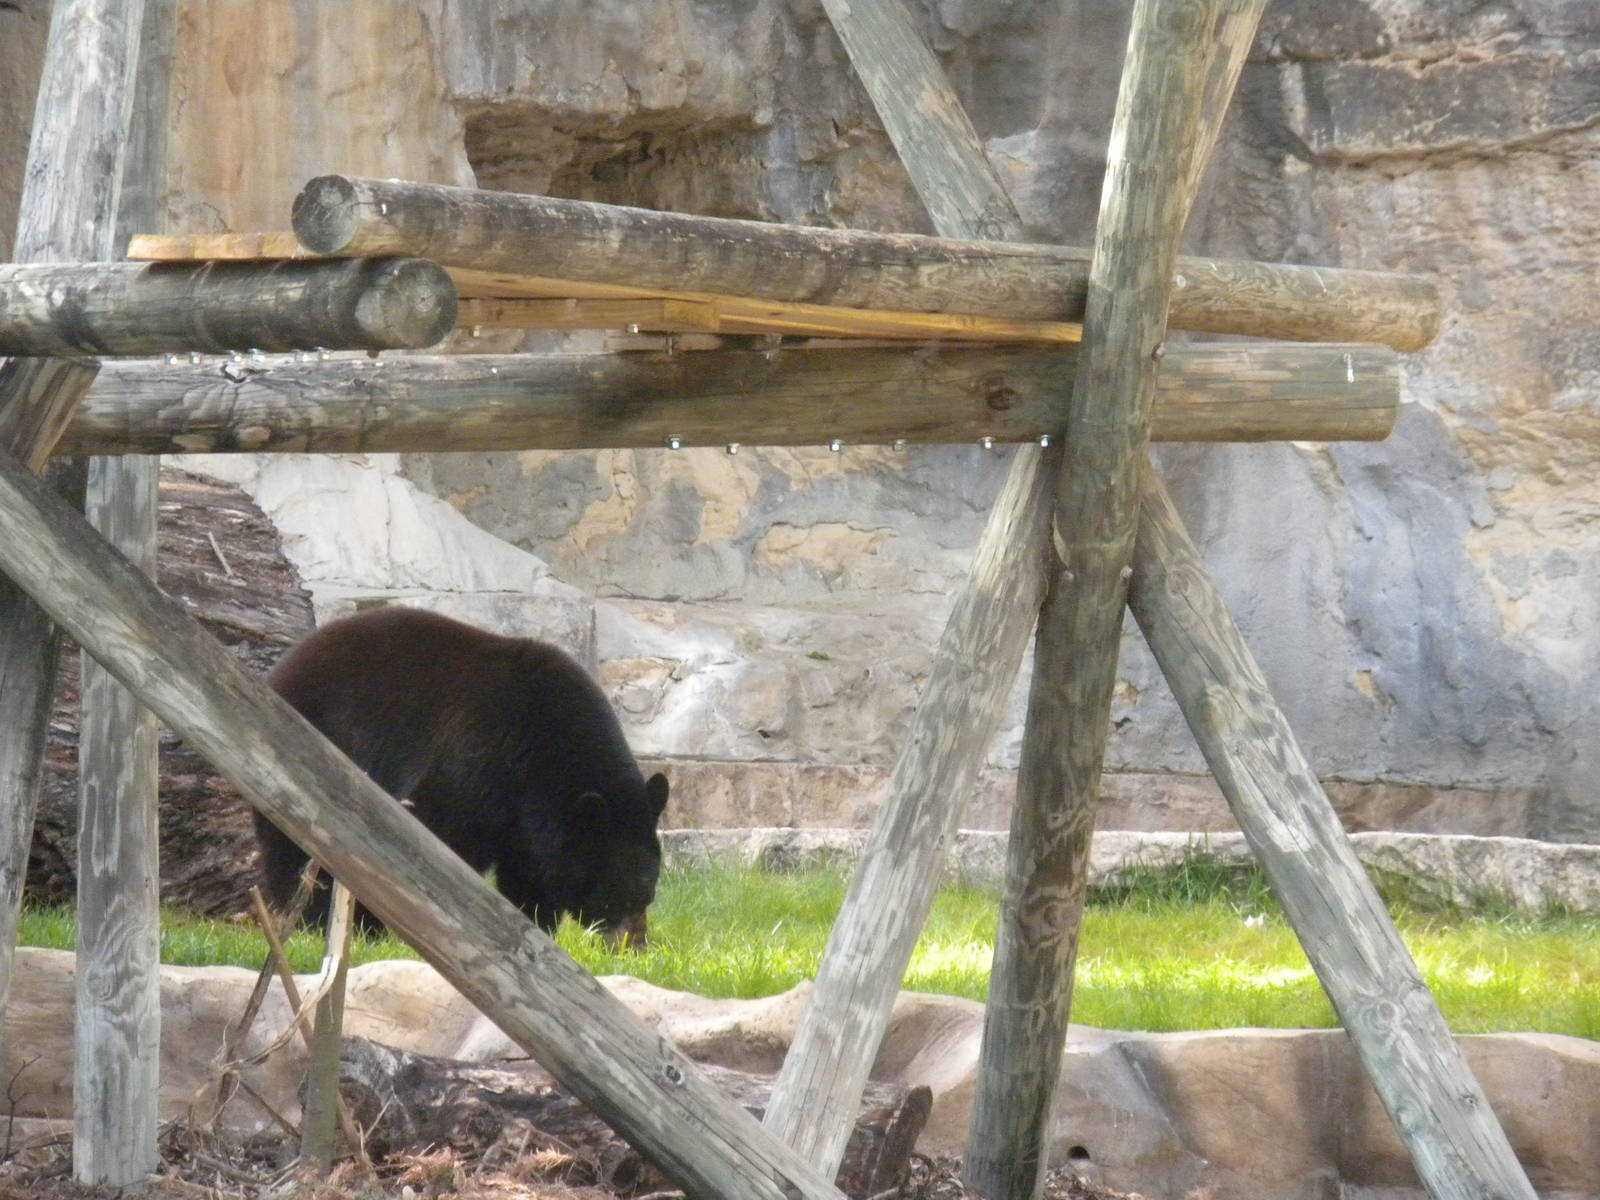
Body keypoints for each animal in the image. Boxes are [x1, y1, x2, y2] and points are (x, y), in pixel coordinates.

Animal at [254, 605, 668, 948]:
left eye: (648, 891)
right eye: (612, 895)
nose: (634, 947)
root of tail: (285, 665)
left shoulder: (528, 815)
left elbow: (530, 873)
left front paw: (536, 927)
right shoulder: (476, 756)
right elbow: (432, 835)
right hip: (305, 749)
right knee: (299, 848)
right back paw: (315, 920)